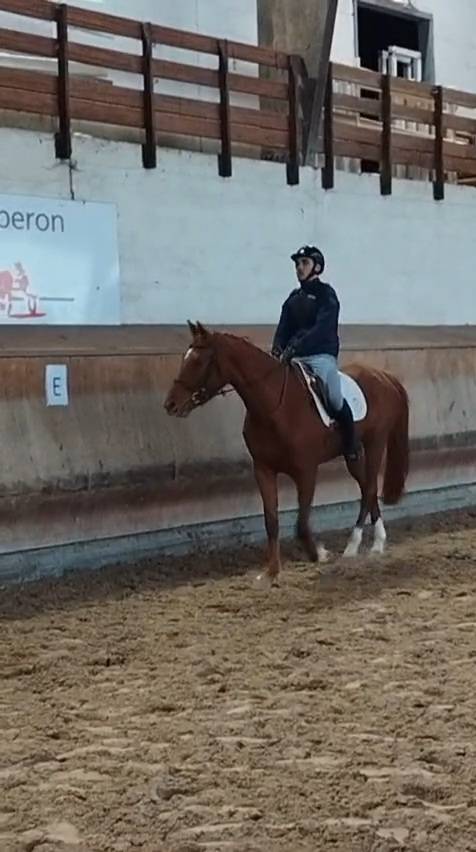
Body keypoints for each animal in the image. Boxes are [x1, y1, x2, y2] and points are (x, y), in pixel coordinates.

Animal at [164, 322, 409, 586]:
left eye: (198, 361)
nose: (170, 405)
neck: (274, 406)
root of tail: (384, 376)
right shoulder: (263, 469)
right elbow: (271, 521)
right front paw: (271, 572)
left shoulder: (306, 471)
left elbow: (301, 524)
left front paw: (318, 554)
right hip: (352, 453)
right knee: (367, 486)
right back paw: (377, 542)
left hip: (375, 442)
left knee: (370, 487)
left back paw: (354, 547)